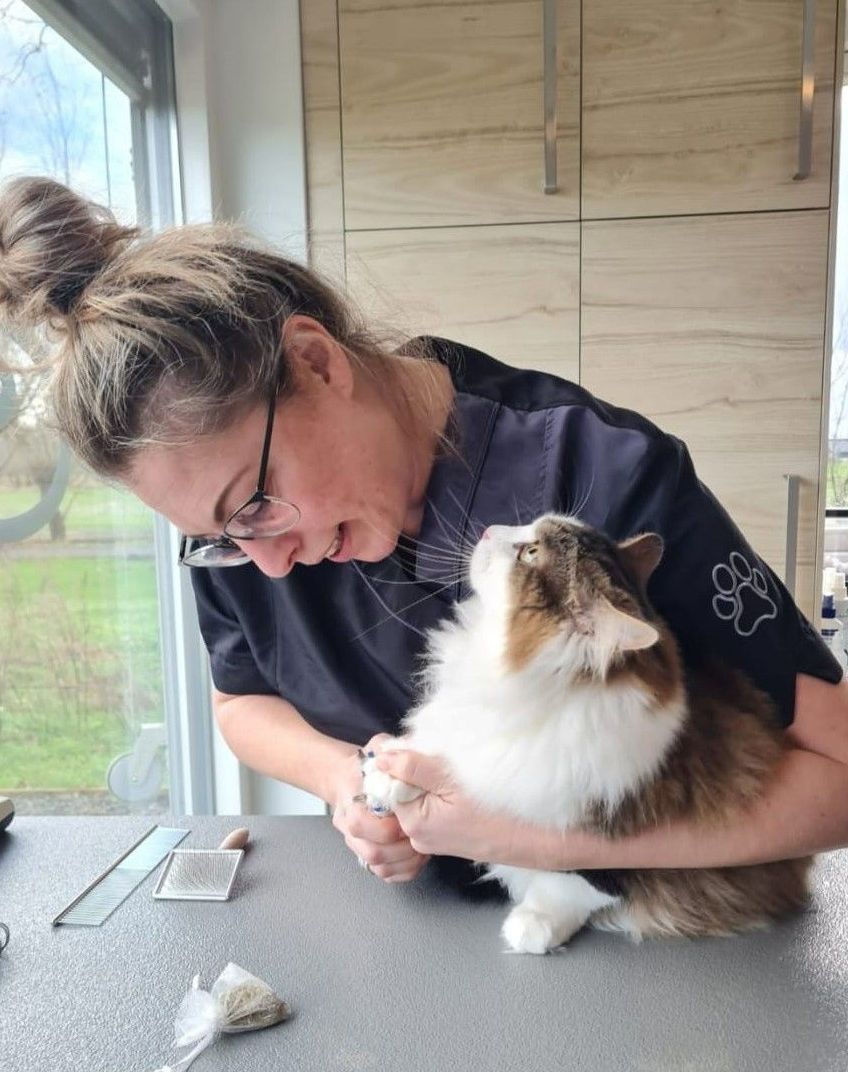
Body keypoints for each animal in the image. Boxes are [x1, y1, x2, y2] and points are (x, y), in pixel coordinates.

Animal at [362, 516, 810, 956]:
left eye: (531, 553)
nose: (489, 529)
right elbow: (441, 745)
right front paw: (386, 774)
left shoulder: (608, 836)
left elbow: (575, 886)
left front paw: (537, 925)